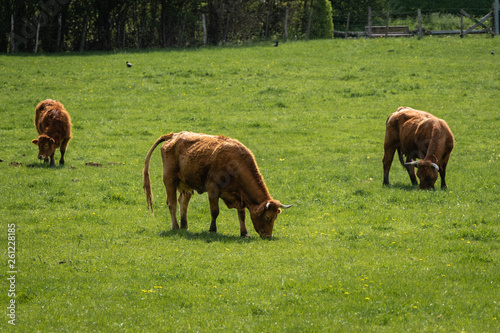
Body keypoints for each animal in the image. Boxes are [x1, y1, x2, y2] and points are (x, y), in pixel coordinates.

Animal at [143, 131, 292, 237]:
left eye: (275, 217)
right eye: (267, 217)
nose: (268, 236)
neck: (235, 163)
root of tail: (173, 135)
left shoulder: (239, 196)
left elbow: (241, 215)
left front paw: (244, 233)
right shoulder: (213, 189)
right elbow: (215, 211)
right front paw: (212, 229)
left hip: (186, 185)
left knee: (183, 203)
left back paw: (185, 226)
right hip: (169, 180)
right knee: (172, 203)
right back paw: (175, 226)